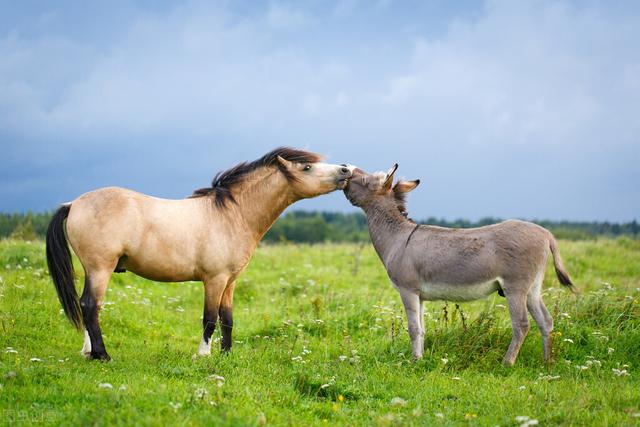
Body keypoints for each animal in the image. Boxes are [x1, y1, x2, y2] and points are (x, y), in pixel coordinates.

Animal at [45, 148, 352, 362]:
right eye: (307, 167)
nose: (346, 169)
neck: (232, 214)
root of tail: (73, 204)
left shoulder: (230, 282)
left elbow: (227, 319)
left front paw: (227, 355)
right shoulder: (214, 280)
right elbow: (210, 319)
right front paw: (203, 355)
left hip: (92, 269)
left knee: (87, 307)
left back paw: (88, 351)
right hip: (101, 268)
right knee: (90, 305)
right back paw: (102, 355)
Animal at [342, 166, 576, 366]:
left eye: (366, 180)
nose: (346, 169)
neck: (398, 237)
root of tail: (546, 233)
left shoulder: (407, 290)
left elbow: (413, 328)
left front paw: (415, 361)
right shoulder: (420, 295)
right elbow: (422, 328)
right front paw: (421, 358)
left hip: (515, 287)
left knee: (521, 324)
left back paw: (507, 363)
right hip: (532, 288)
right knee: (545, 321)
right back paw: (547, 362)